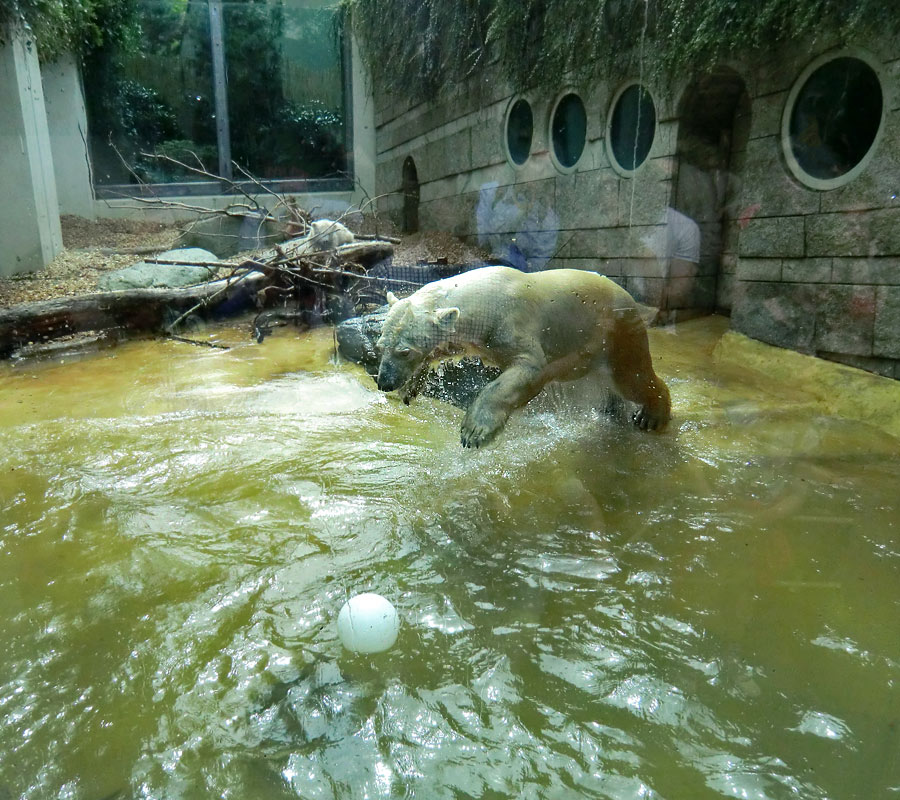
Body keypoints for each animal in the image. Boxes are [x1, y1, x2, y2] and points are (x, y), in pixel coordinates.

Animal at [374, 266, 676, 446]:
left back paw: (651, 416)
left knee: (633, 377)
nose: (384, 382)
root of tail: (631, 299)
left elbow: (529, 367)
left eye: (404, 351)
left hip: (617, 334)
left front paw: (475, 431)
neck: (487, 299)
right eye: (380, 346)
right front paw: (411, 387)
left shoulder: (512, 323)